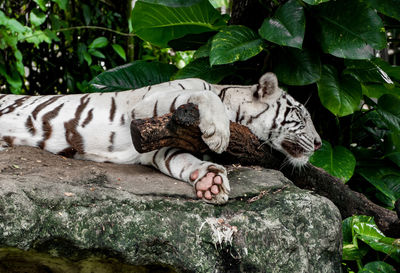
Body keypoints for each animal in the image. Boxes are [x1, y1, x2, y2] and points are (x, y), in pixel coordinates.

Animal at [0, 71, 318, 203]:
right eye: (301, 116)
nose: (319, 143)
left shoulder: (156, 147)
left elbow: (182, 161)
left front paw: (211, 181)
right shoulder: (148, 106)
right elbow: (205, 95)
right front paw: (219, 133)